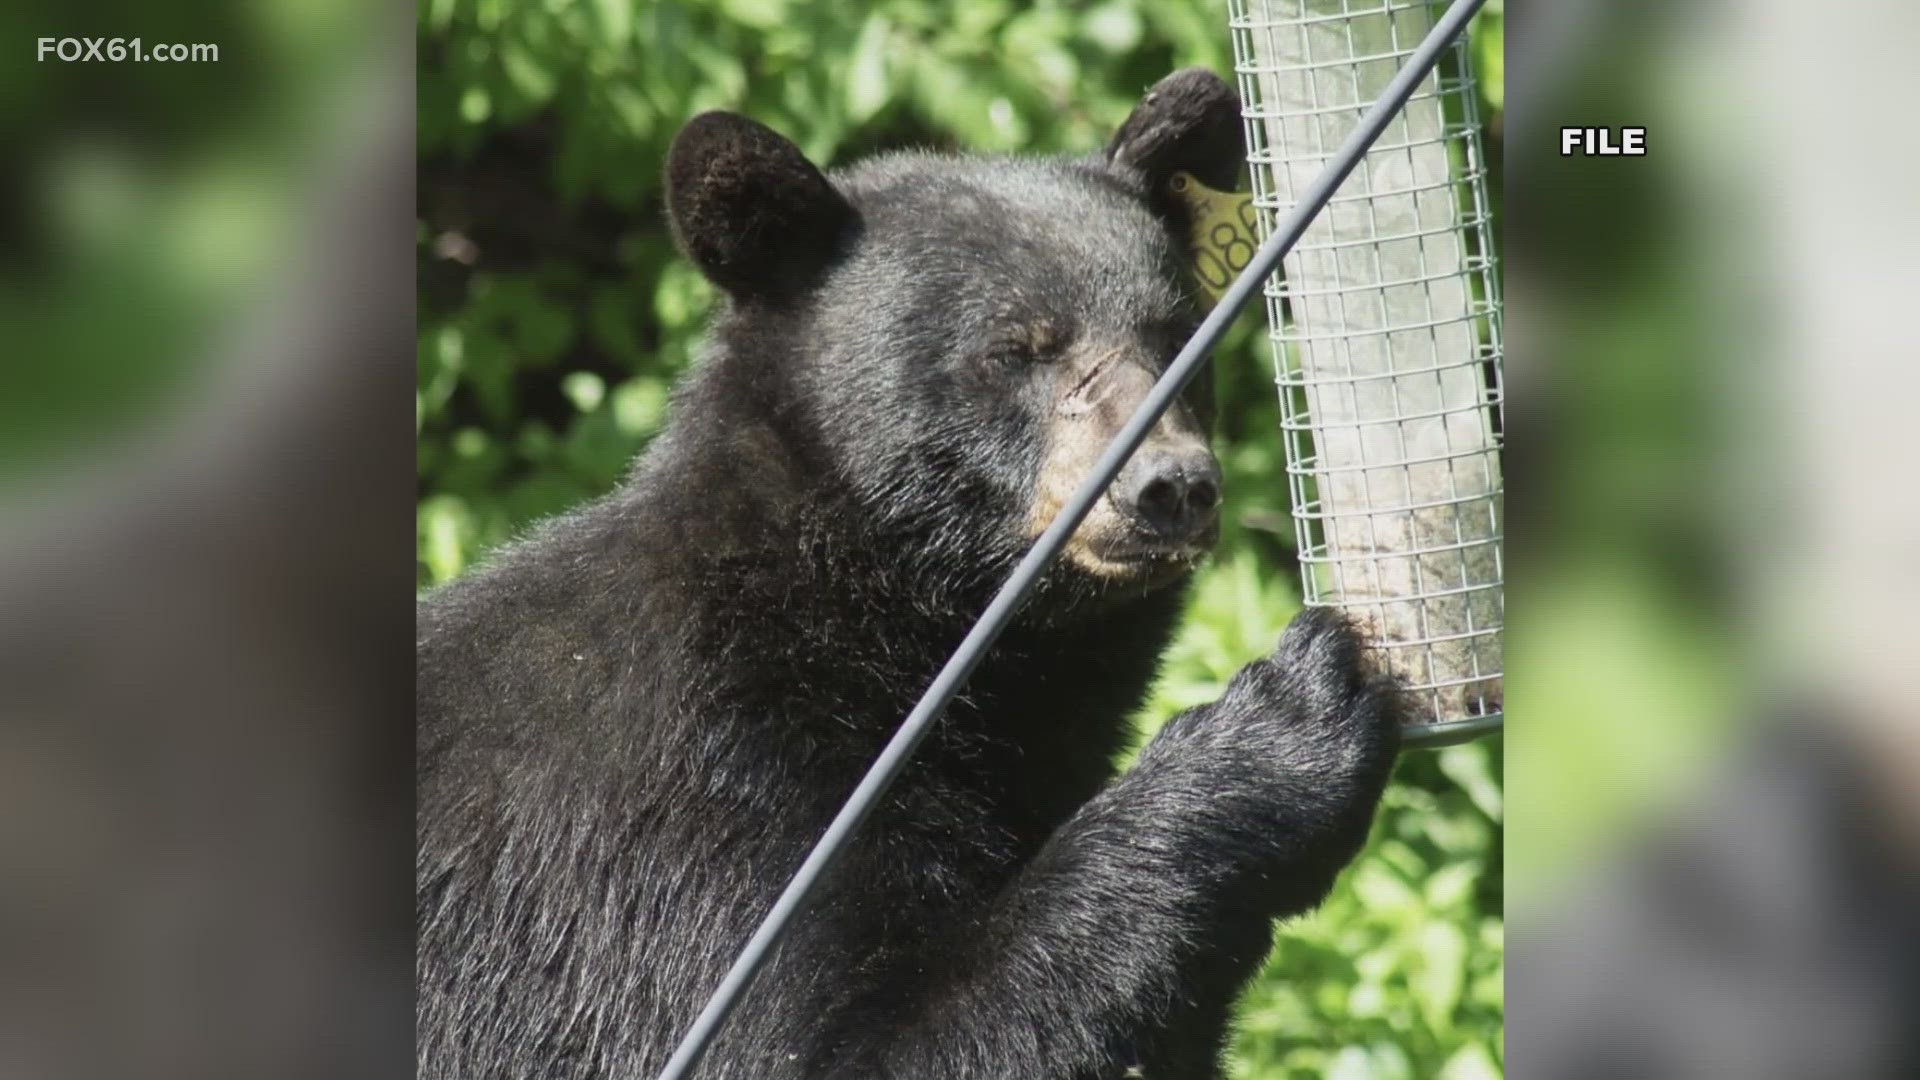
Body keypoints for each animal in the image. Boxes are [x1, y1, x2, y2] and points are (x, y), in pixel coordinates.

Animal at [416, 69, 1397, 1076]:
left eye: (1176, 335)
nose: (1172, 486)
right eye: (1013, 348)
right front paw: (1278, 728)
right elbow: (844, 1043)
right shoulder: (691, 810)